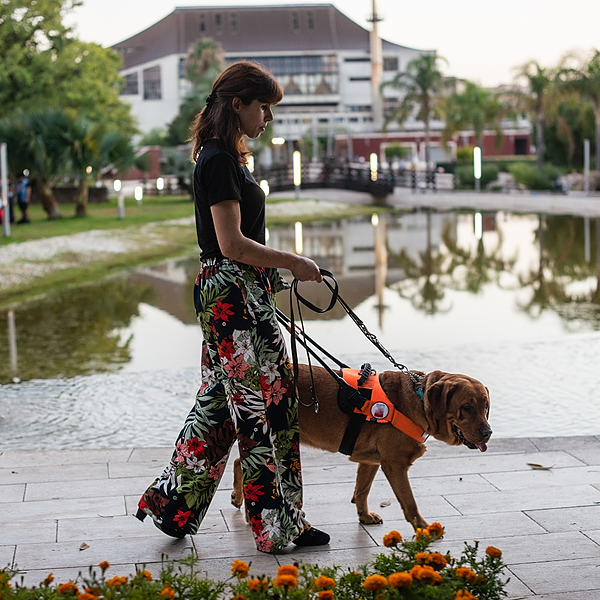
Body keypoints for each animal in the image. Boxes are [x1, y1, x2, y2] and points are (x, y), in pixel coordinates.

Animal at [231, 364, 492, 528]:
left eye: (486, 406)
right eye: (467, 407)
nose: (488, 433)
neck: (419, 400)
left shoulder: (370, 461)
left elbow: (361, 490)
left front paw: (364, 516)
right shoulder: (395, 465)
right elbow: (409, 502)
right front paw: (423, 529)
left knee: (238, 460)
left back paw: (240, 500)